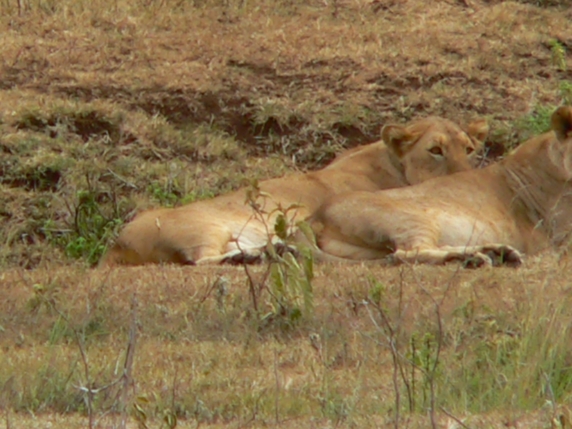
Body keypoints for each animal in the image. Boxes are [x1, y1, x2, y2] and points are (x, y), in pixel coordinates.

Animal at [99, 116, 488, 266]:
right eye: (435, 150)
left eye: (468, 148)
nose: (466, 176)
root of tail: (117, 241)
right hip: (203, 227)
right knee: (202, 259)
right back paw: (254, 256)